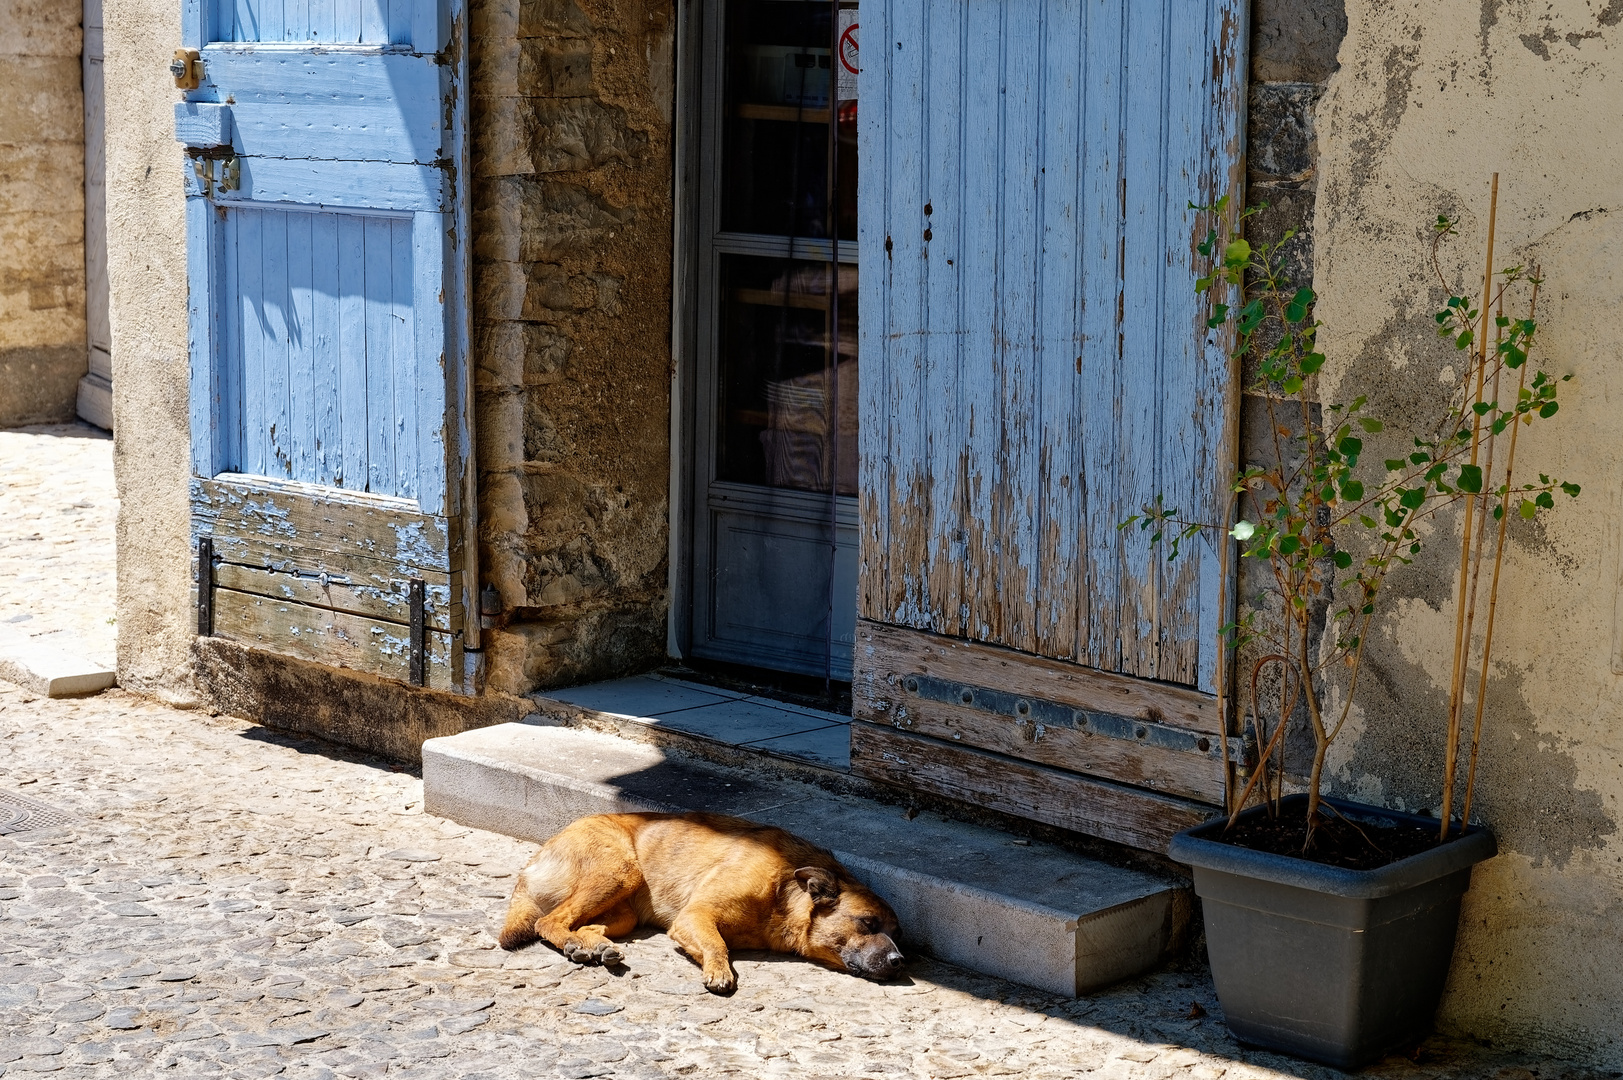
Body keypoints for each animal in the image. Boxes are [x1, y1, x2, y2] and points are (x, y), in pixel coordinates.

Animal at [496, 808, 902, 993]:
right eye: (868, 923)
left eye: (899, 935)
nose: (899, 962)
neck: (784, 894)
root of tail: (535, 860)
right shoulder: (695, 916)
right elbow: (717, 944)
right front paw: (719, 971)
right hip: (618, 871)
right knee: (547, 921)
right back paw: (576, 945)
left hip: (624, 912)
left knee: (582, 924)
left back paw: (593, 947)